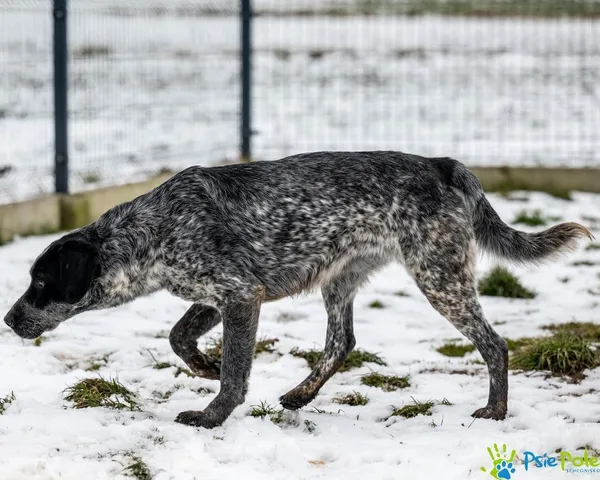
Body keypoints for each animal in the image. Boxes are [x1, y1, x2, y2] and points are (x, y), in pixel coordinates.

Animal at [2, 153, 592, 428]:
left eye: (40, 282)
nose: (8, 319)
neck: (148, 233)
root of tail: (441, 165)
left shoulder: (240, 296)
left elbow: (235, 374)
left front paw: (212, 414)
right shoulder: (221, 296)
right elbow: (179, 337)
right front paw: (204, 367)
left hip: (439, 277)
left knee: (495, 344)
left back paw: (495, 410)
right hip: (341, 279)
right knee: (341, 343)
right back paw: (300, 395)